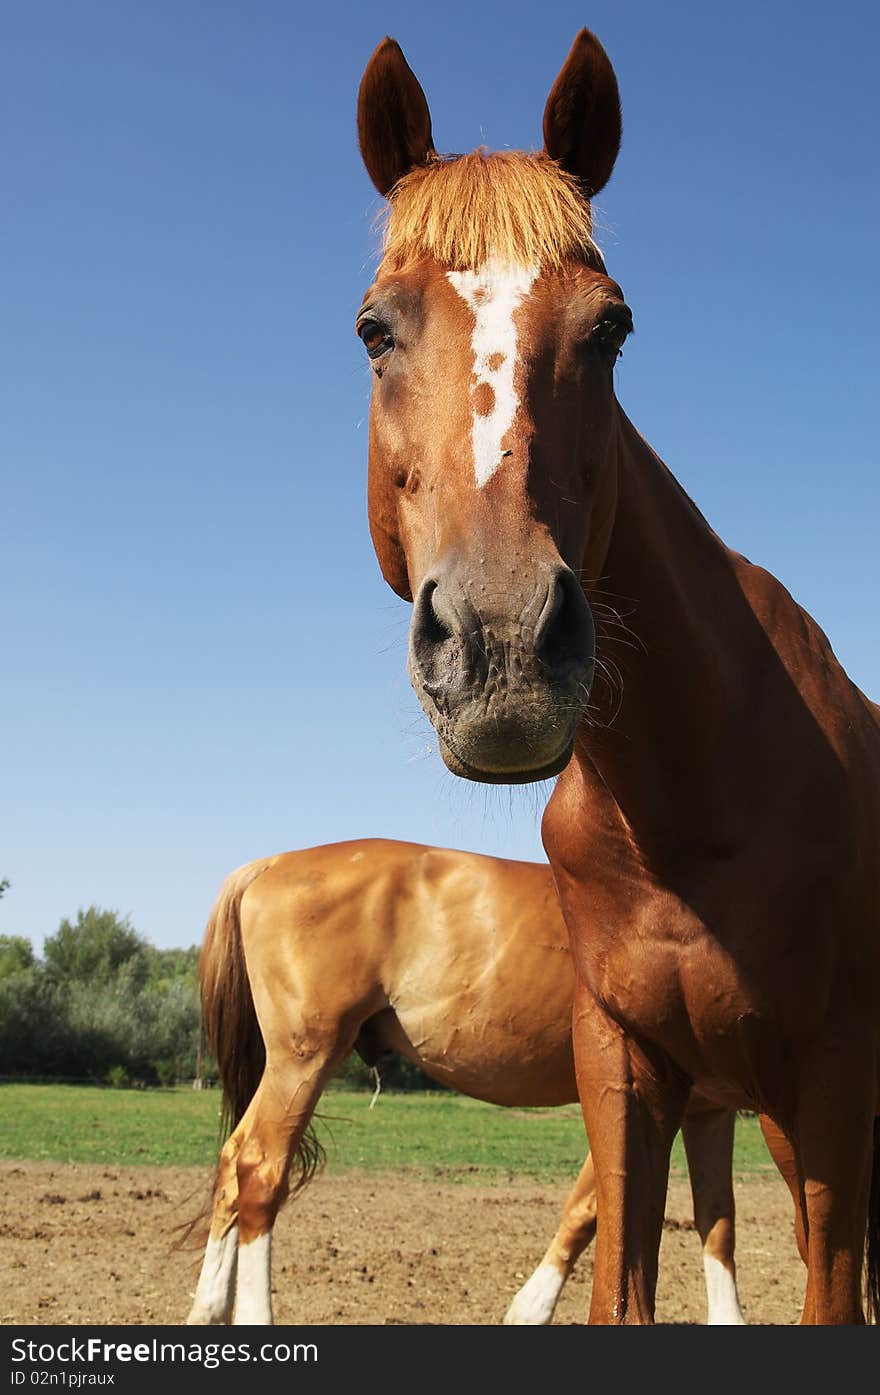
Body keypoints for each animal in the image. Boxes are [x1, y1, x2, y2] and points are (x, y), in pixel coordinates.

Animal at [188, 831, 753, 1322]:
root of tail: (271, 865)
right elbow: (594, 1209)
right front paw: (531, 1310)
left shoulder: (709, 1111)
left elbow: (717, 1221)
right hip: (303, 1062)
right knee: (260, 1169)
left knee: (232, 1163)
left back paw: (208, 1310)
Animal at [352, 27, 880, 1322]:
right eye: (376, 330)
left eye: (612, 330)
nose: (500, 642)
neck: (688, 794)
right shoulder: (628, 1071)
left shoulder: (835, 1078)